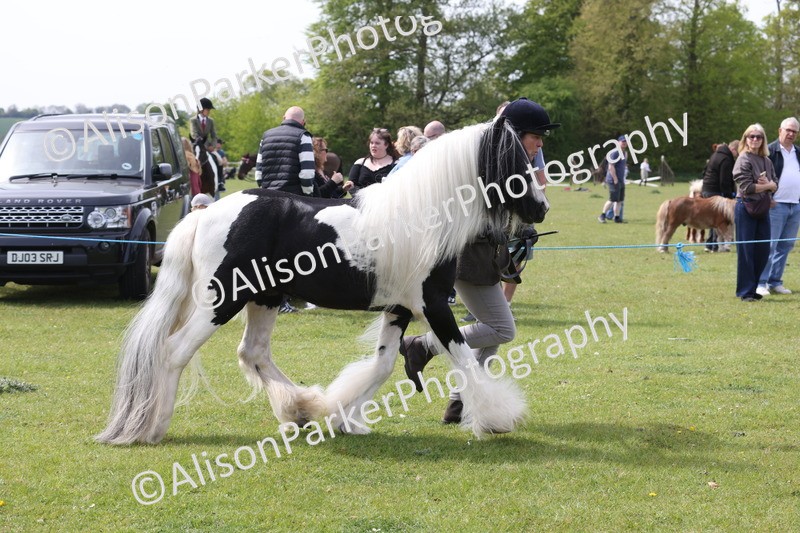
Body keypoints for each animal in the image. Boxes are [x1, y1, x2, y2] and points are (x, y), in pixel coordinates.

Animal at [96, 117, 549, 445]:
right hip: (222, 301)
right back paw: (156, 429)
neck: (420, 219)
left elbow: (383, 364)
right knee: (175, 350)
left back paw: (300, 408)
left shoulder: (399, 309)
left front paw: (344, 417)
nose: (541, 209)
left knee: (252, 352)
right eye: (515, 162)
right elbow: (464, 359)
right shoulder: (433, 304)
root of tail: (205, 214)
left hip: (264, 299)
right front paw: (497, 418)